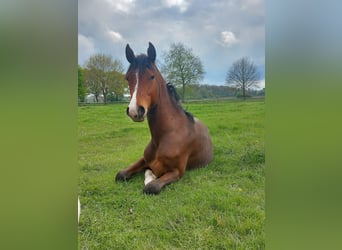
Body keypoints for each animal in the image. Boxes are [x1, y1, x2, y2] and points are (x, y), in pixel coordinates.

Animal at [115, 42, 211, 194]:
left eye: (152, 76)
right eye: (127, 78)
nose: (135, 111)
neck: (164, 136)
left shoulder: (177, 172)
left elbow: (151, 187)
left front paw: (150, 179)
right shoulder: (144, 160)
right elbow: (120, 174)